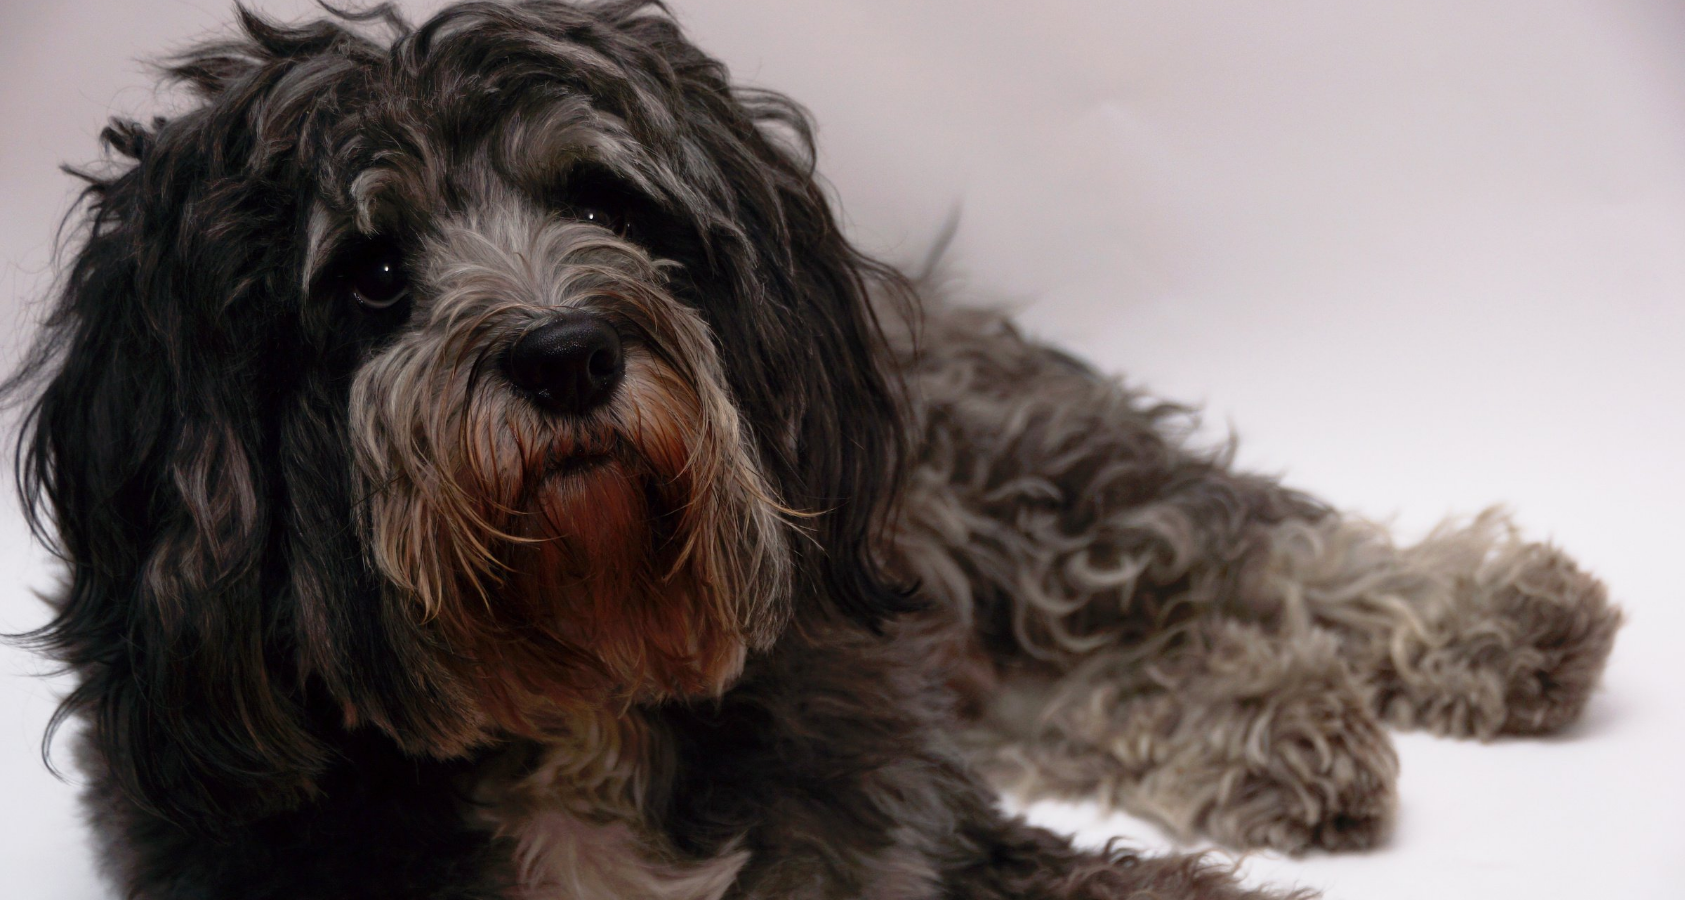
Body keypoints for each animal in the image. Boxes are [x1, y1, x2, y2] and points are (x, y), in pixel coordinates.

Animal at [3, 1, 1617, 900]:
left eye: (607, 203)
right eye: (369, 276)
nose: (567, 354)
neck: (572, 711)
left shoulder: (916, 834)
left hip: (986, 500)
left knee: (1230, 537)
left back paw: (1506, 620)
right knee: (1110, 666)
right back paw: (1283, 733)